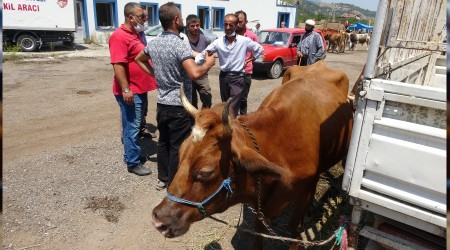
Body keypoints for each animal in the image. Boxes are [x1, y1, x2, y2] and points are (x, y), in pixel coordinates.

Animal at [151, 61, 356, 250]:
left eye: (205, 172)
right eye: (180, 155)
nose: (158, 220)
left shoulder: (303, 192)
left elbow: (294, 229)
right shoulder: (261, 204)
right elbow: (259, 229)